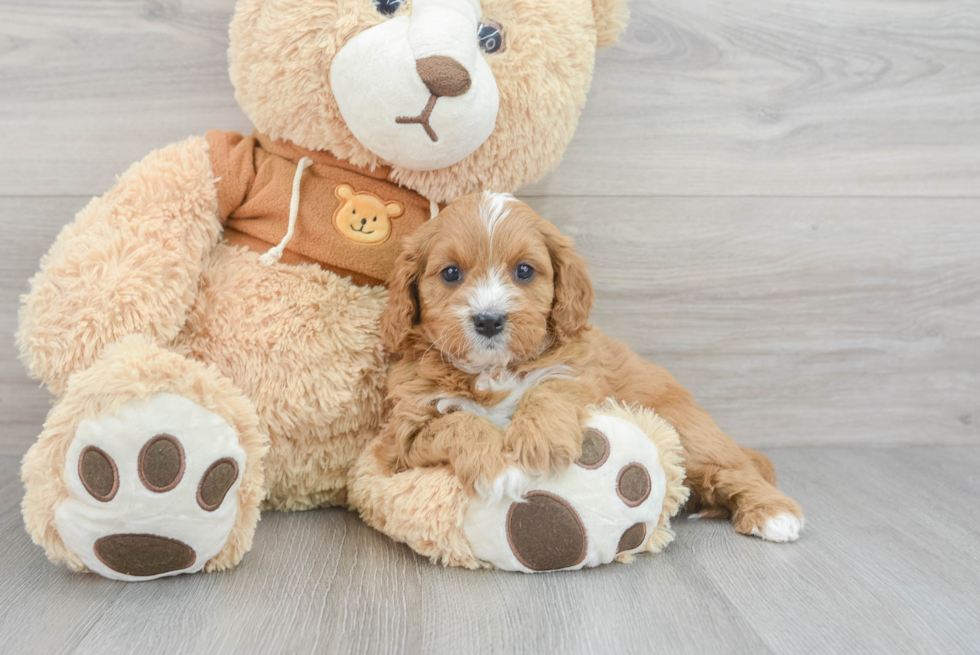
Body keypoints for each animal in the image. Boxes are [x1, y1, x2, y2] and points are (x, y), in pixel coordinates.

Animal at [378, 192, 804, 540]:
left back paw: (774, 513)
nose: (488, 320)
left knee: (734, 470)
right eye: (450, 273)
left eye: (524, 271)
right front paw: (500, 468)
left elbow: (551, 387)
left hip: (689, 432)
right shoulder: (405, 439)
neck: (493, 369)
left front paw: (541, 440)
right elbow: (458, 422)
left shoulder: (584, 372)